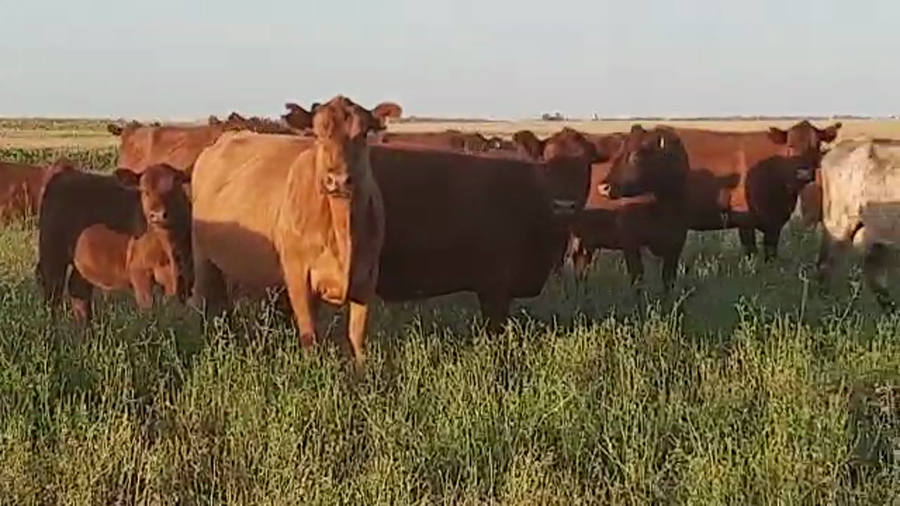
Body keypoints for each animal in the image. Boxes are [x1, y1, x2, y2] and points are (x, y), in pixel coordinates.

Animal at [36, 163, 192, 321]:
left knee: (78, 291)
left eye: (174, 188)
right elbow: (149, 308)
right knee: (52, 293)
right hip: (52, 255)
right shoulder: (139, 272)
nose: (157, 215)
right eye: (144, 191)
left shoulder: (185, 276)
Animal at [190, 95, 388, 366]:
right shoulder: (297, 274)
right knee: (201, 299)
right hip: (202, 257)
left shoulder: (367, 277)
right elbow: (309, 335)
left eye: (363, 133)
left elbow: (357, 337)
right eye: (317, 134)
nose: (337, 180)